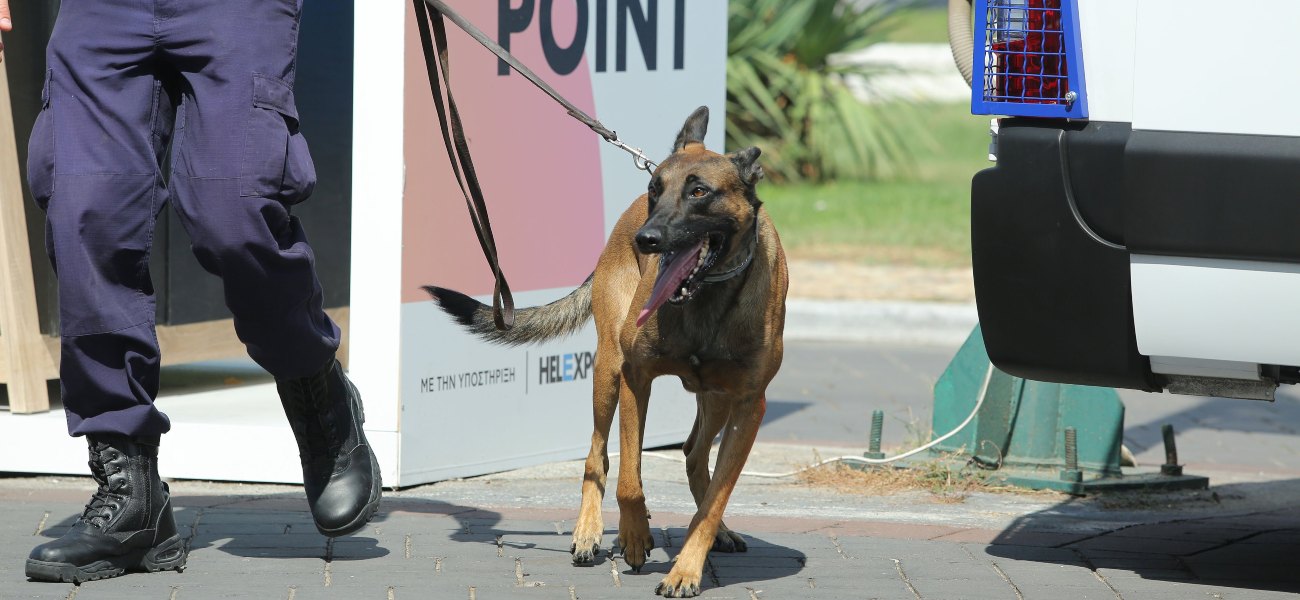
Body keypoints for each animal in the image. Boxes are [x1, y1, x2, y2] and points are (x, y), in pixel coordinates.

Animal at [431, 105, 785, 597]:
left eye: (699, 192)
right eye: (656, 190)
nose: (647, 240)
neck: (704, 300)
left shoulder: (749, 406)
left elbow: (715, 499)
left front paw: (687, 567)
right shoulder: (637, 377)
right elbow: (629, 479)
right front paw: (635, 534)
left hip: (715, 399)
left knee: (695, 455)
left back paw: (718, 532)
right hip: (607, 372)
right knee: (597, 456)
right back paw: (589, 532)